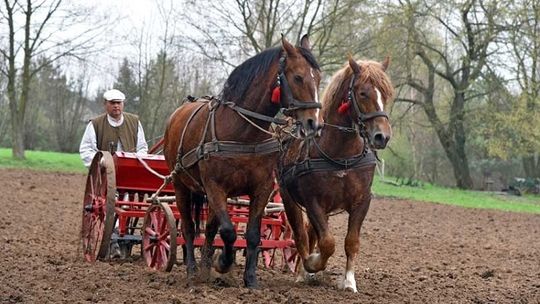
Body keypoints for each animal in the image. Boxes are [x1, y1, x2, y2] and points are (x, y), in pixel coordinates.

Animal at [161, 35, 320, 288]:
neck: (243, 132)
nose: (313, 123)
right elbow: (228, 231)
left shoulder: (262, 187)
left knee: (209, 229)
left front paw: (250, 278)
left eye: (319, 77)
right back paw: (193, 271)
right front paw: (223, 263)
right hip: (181, 186)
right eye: (298, 77)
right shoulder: (215, 186)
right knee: (188, 228)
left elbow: (251, 234)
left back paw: (205, 268)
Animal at [278, 56, 392, 292]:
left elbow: (351, 241)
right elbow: (327, 243)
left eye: (386, 93)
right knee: (301, 235)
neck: (341, 155)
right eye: (362, 93)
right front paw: (312, 263)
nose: (382, 136)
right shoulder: (313, 202)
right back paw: (303, 271)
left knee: (310, 233)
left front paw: (349, 282)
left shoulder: (362, 201)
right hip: (288, 198)